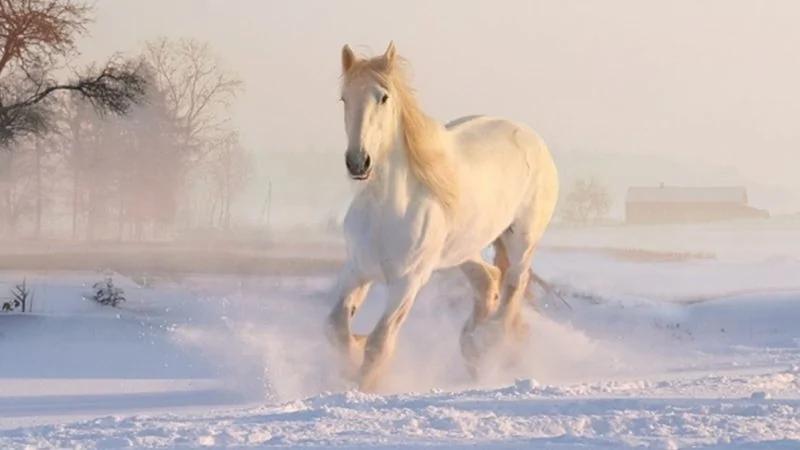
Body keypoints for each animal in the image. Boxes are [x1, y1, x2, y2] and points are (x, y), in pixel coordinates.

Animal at [327, 42, 559, 391]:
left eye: (383, 97)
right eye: (344, 98)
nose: (358, 162)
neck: (387, 209)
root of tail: (531, 137)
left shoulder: (408, 281)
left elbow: (379, 343)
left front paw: (364, 385)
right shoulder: (357, 269)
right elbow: (337, 328)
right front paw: (352, 354)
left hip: (522, 240)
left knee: (513, 285)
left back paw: (488, 342)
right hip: (462, 250)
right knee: (488, 279)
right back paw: (472, 345)